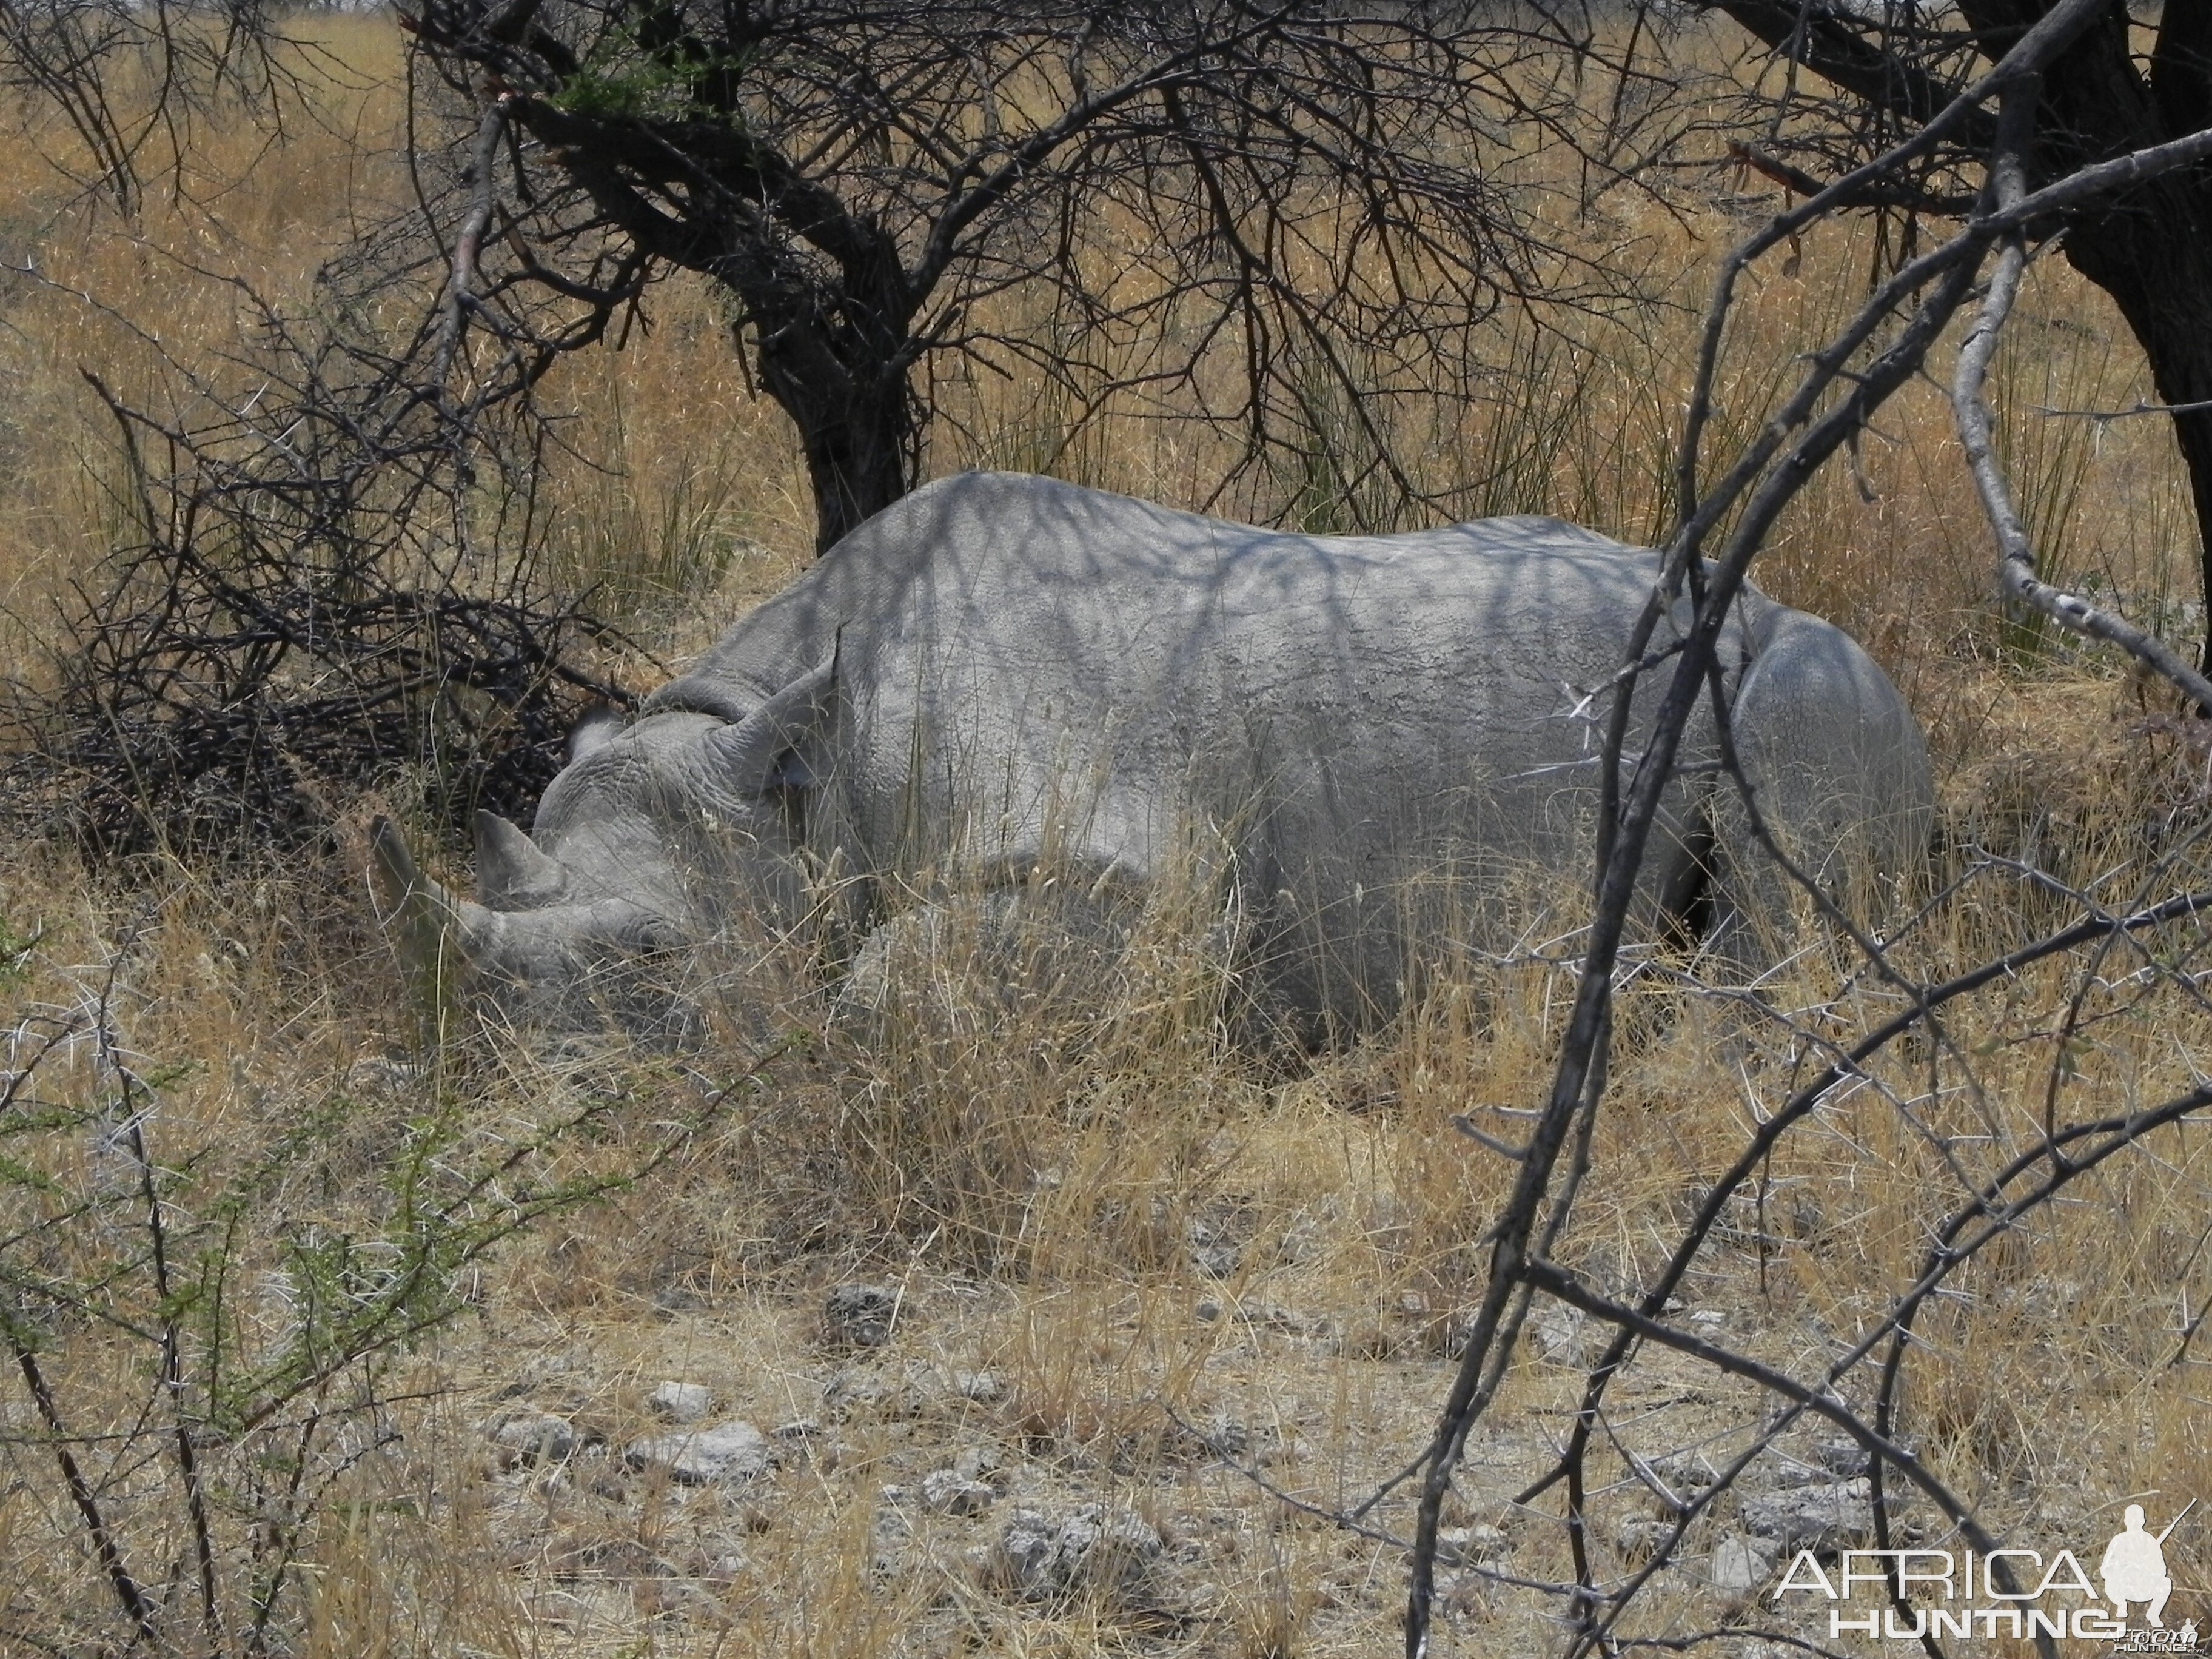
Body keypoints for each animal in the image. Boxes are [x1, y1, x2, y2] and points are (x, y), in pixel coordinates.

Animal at [376, 471, 1937, 1039]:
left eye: (655, 962)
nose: (530, 1080)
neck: (799, 766)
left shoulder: (1123, 872)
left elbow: (883, 978)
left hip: (1802, 663)